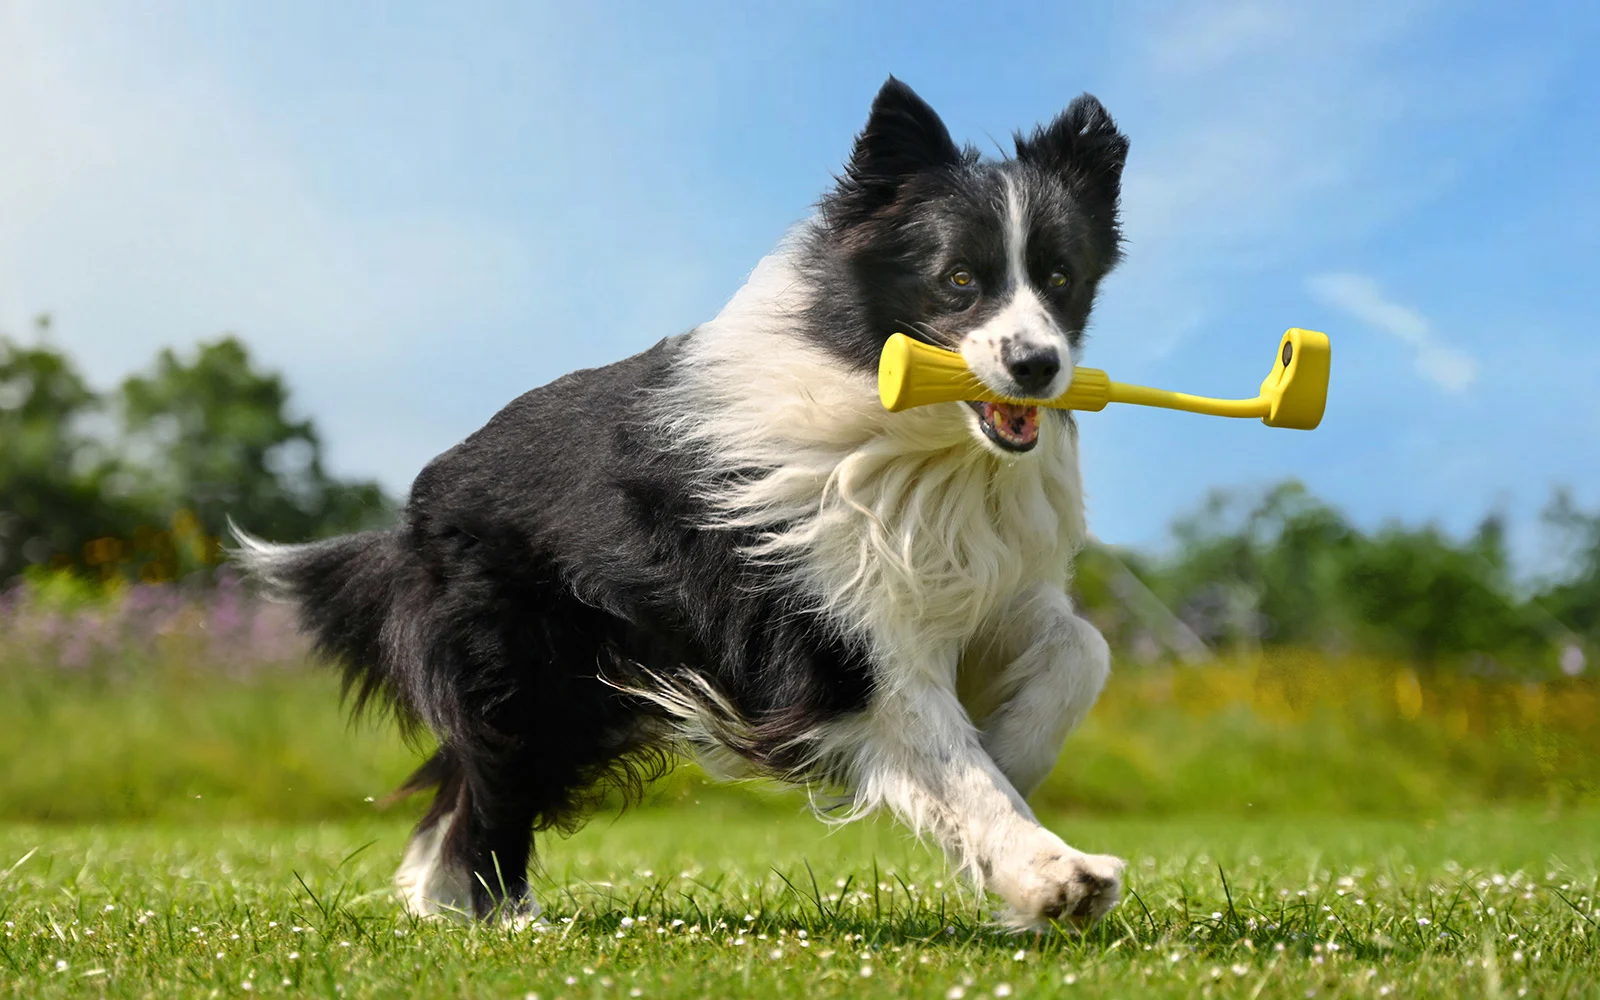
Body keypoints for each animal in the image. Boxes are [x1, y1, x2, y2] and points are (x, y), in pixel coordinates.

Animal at [236, 76, 1132, 928]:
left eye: (1060, 278)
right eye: (958, 279)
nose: (1037, 366)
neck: (919, 433)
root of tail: (415, 506)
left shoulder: (984, 584)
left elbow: (1082, 649)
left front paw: (1016, 751)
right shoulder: (836, 633)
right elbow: (949, 758)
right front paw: (1055, 875)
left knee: (464, 789)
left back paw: (442, 903)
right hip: (527, 666)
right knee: (493, 783)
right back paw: (502, 919)